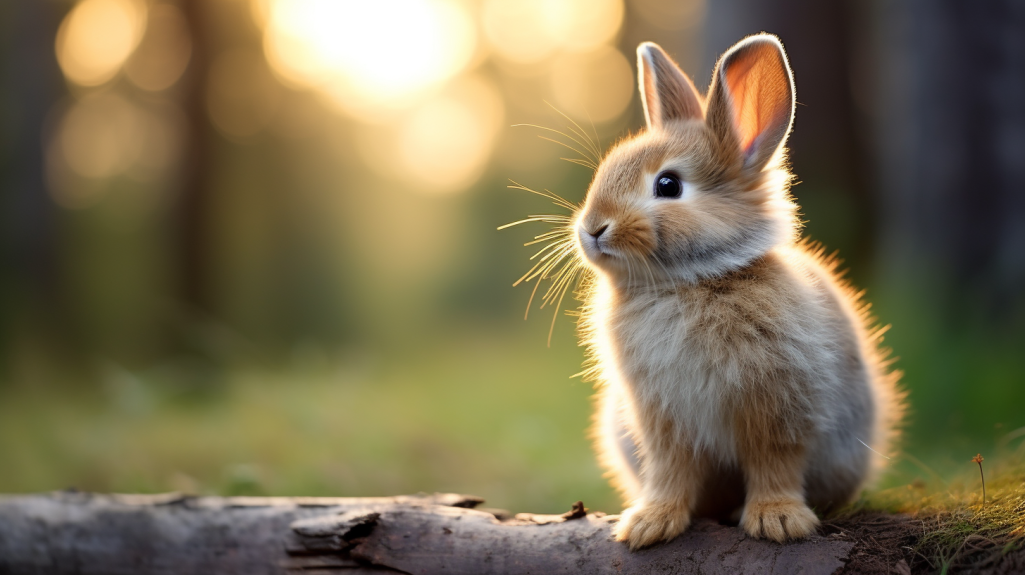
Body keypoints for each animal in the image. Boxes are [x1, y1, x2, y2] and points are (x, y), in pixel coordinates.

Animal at [565, 34, 905, 549]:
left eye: (668, 184)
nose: (591, 229)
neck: (690, 281)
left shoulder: (780, 405)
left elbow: (774, 463)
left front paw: (778, 521)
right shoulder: (662, 419)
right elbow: (670, 471)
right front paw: (648, 525)